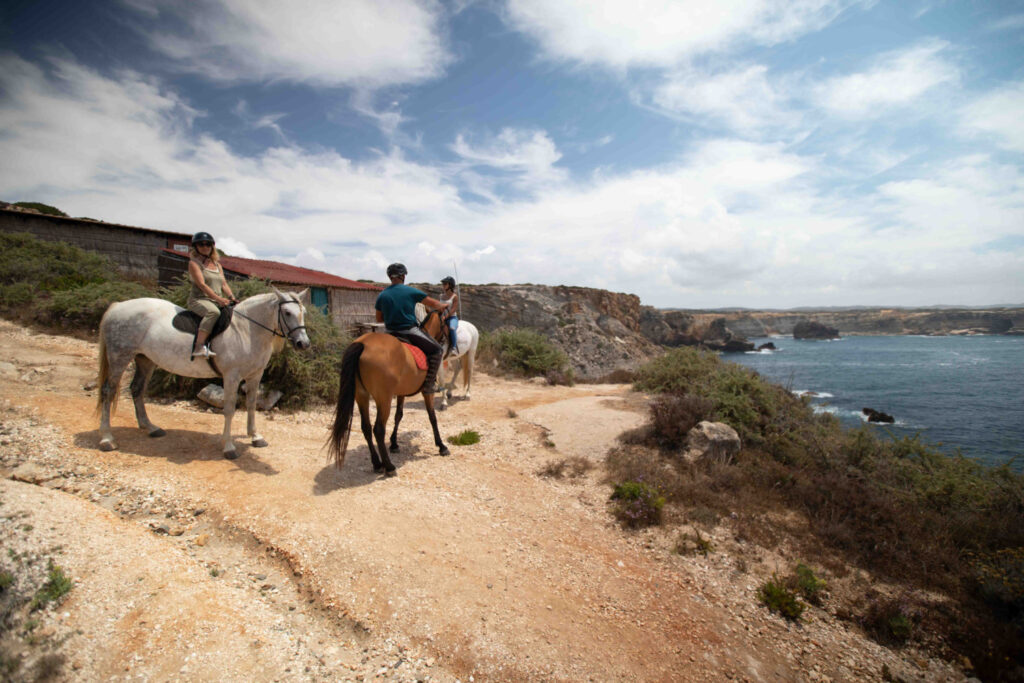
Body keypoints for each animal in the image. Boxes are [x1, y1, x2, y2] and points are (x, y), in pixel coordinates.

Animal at [97, 288, 309, 458]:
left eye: (303, 313)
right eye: (287, 312)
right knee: (108, 391)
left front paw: (255, 437)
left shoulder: (255, 375)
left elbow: (251, 405)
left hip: (145, 360)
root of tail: (117, 307)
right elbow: (229, 409)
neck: (246, 331)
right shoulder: (231, 377)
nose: (303, 343)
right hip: (119, 357)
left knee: (137, 389)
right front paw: (229, 446)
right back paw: (107, 438)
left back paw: (150, 427)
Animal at [327, 309, 448, 475]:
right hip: (383, 399)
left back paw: (377, 463)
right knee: (378, 429)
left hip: (361, 396)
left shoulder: (401, 393)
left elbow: (399, 416)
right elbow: (432, 417)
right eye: (444, 323)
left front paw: (394, 443)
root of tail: (362, 344)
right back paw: (389, 466)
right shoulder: (427, 392)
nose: (445, 340)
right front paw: (441, 446)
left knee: (366, 427)